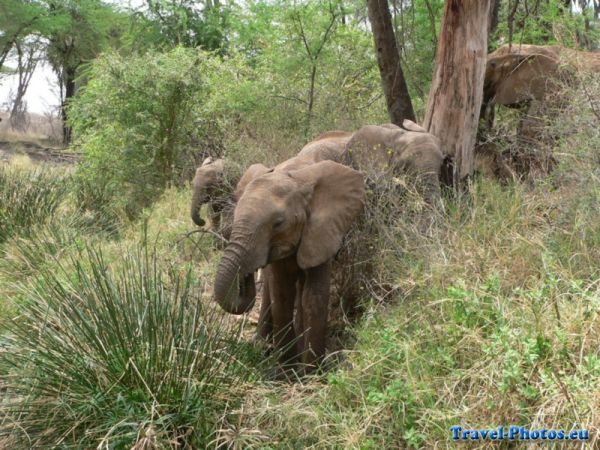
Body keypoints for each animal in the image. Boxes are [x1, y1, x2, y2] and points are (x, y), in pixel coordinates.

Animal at [214, 158, 366, 372]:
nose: (245, 277)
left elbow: (313, 297)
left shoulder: (321, 232)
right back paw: (262, 346)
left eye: (278, 223)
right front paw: (286, 371)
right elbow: (281, 295)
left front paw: (312, 373)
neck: (297, 180)